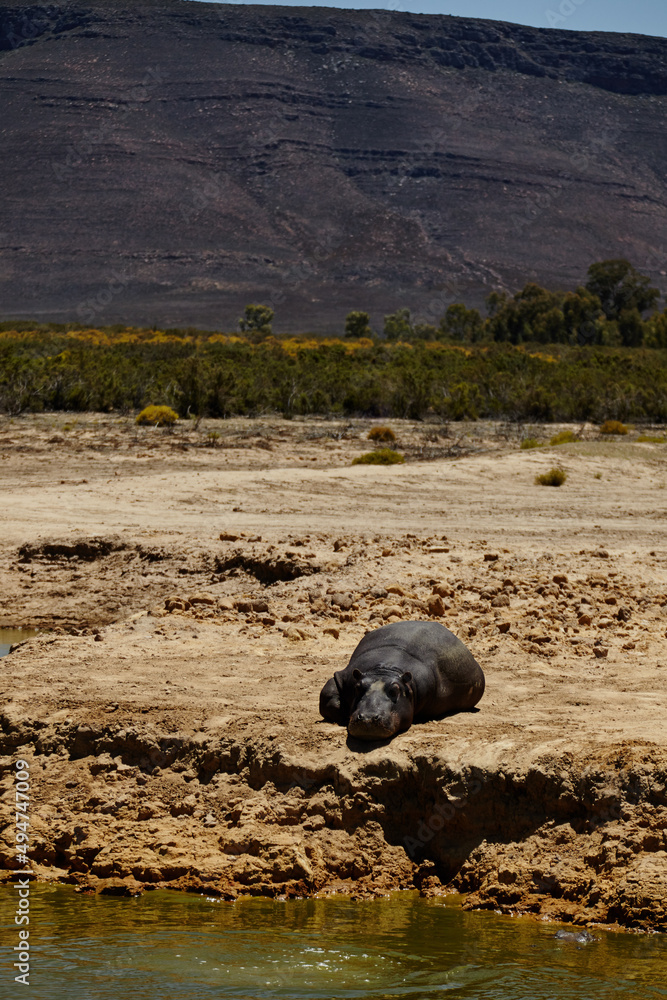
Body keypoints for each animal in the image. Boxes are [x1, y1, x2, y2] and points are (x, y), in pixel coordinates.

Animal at [320, 620, 486, 740]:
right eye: (358, 687)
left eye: (395, 690)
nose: (367, 718)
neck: (385, 670)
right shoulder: (345, 677)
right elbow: (328, 694)